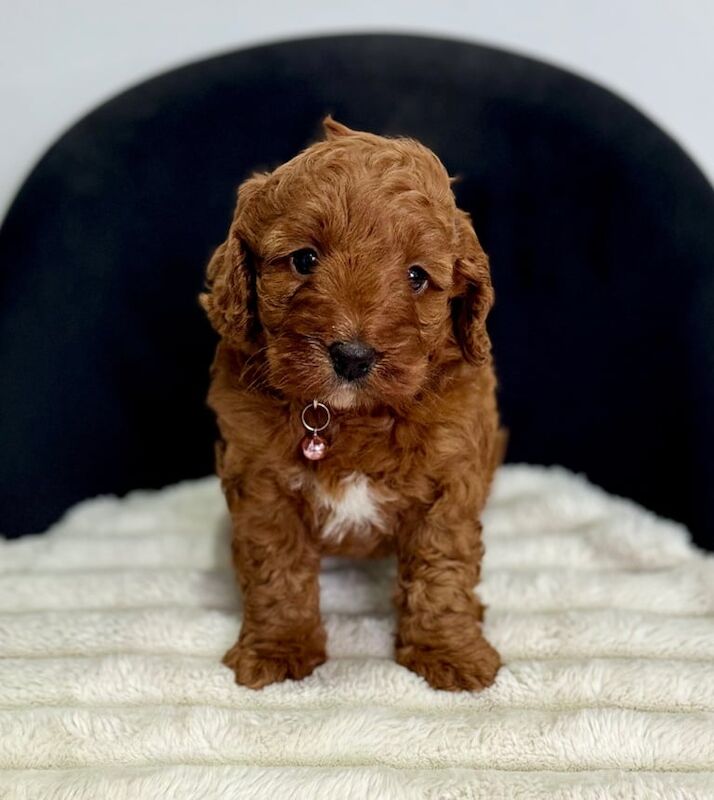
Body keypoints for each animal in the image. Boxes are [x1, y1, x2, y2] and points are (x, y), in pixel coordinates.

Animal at [200, 119, 500, 692]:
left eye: (416, 276)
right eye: (304, 259)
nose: (353, 356)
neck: (348, 416)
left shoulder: (450, 479)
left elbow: (442, 570)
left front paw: (449, 651)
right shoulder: (262, 483)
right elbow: (277, 570)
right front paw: (278, 648)